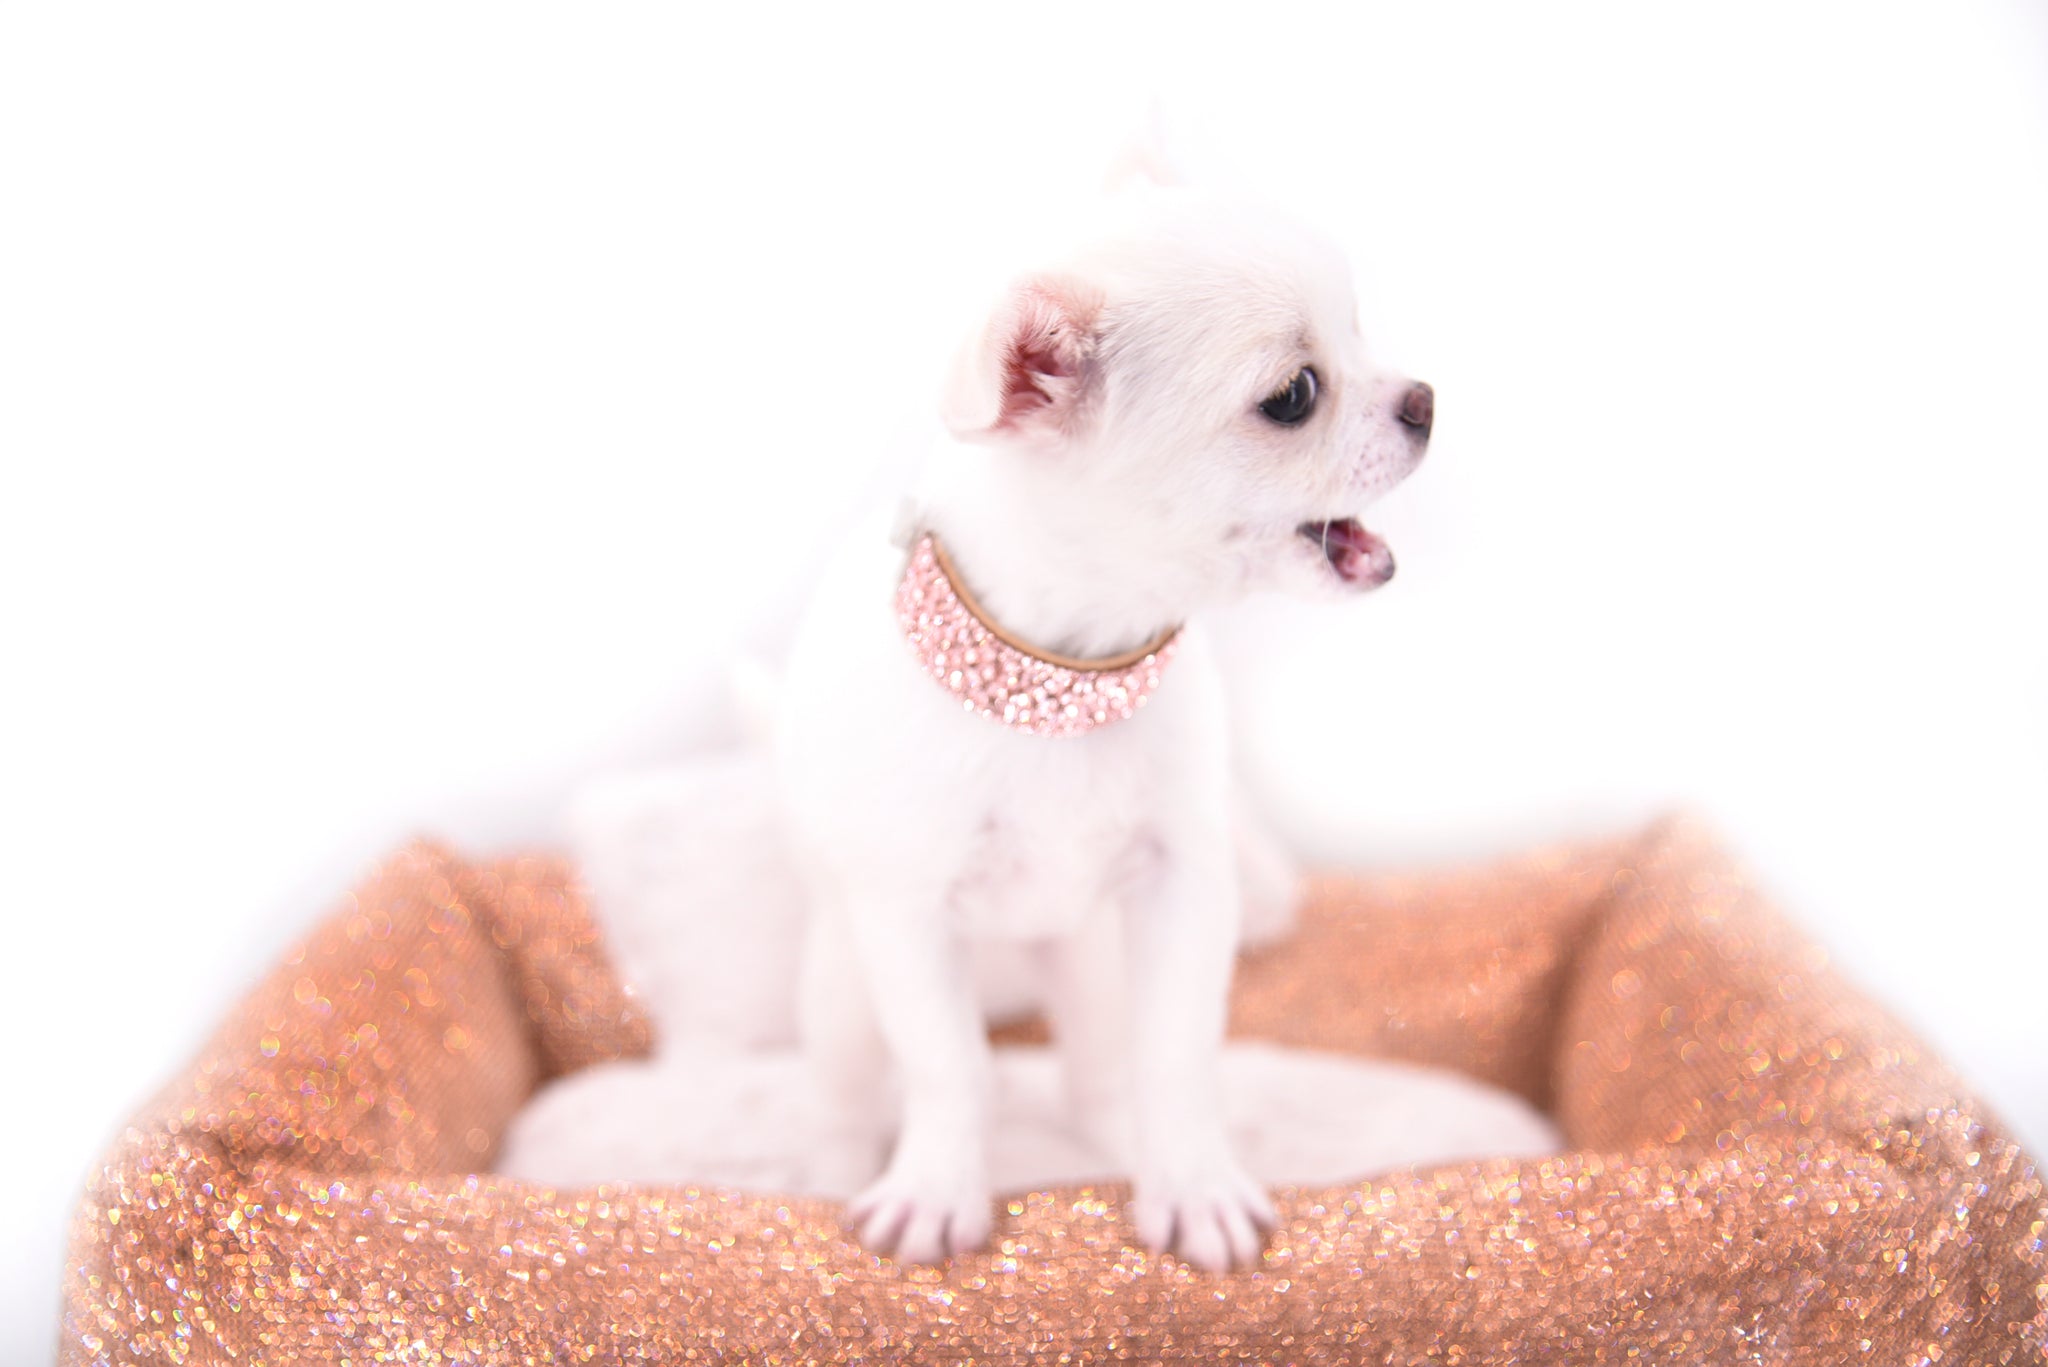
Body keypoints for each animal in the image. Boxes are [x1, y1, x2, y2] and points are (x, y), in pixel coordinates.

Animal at [774, 167, 1434, 1273]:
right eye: (1294, 396)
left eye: (1361, 331)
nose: (1426, 399)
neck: (1062, 681)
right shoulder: (908, 918)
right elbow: (948, 1065)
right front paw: (935, 1189)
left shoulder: (1182, 888)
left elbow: (1175, 1053)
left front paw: (1192, 1184)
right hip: (838, 977)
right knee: (846, 1088)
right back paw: (829, 1171)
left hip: (1083, 959)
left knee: (1095, 1068)